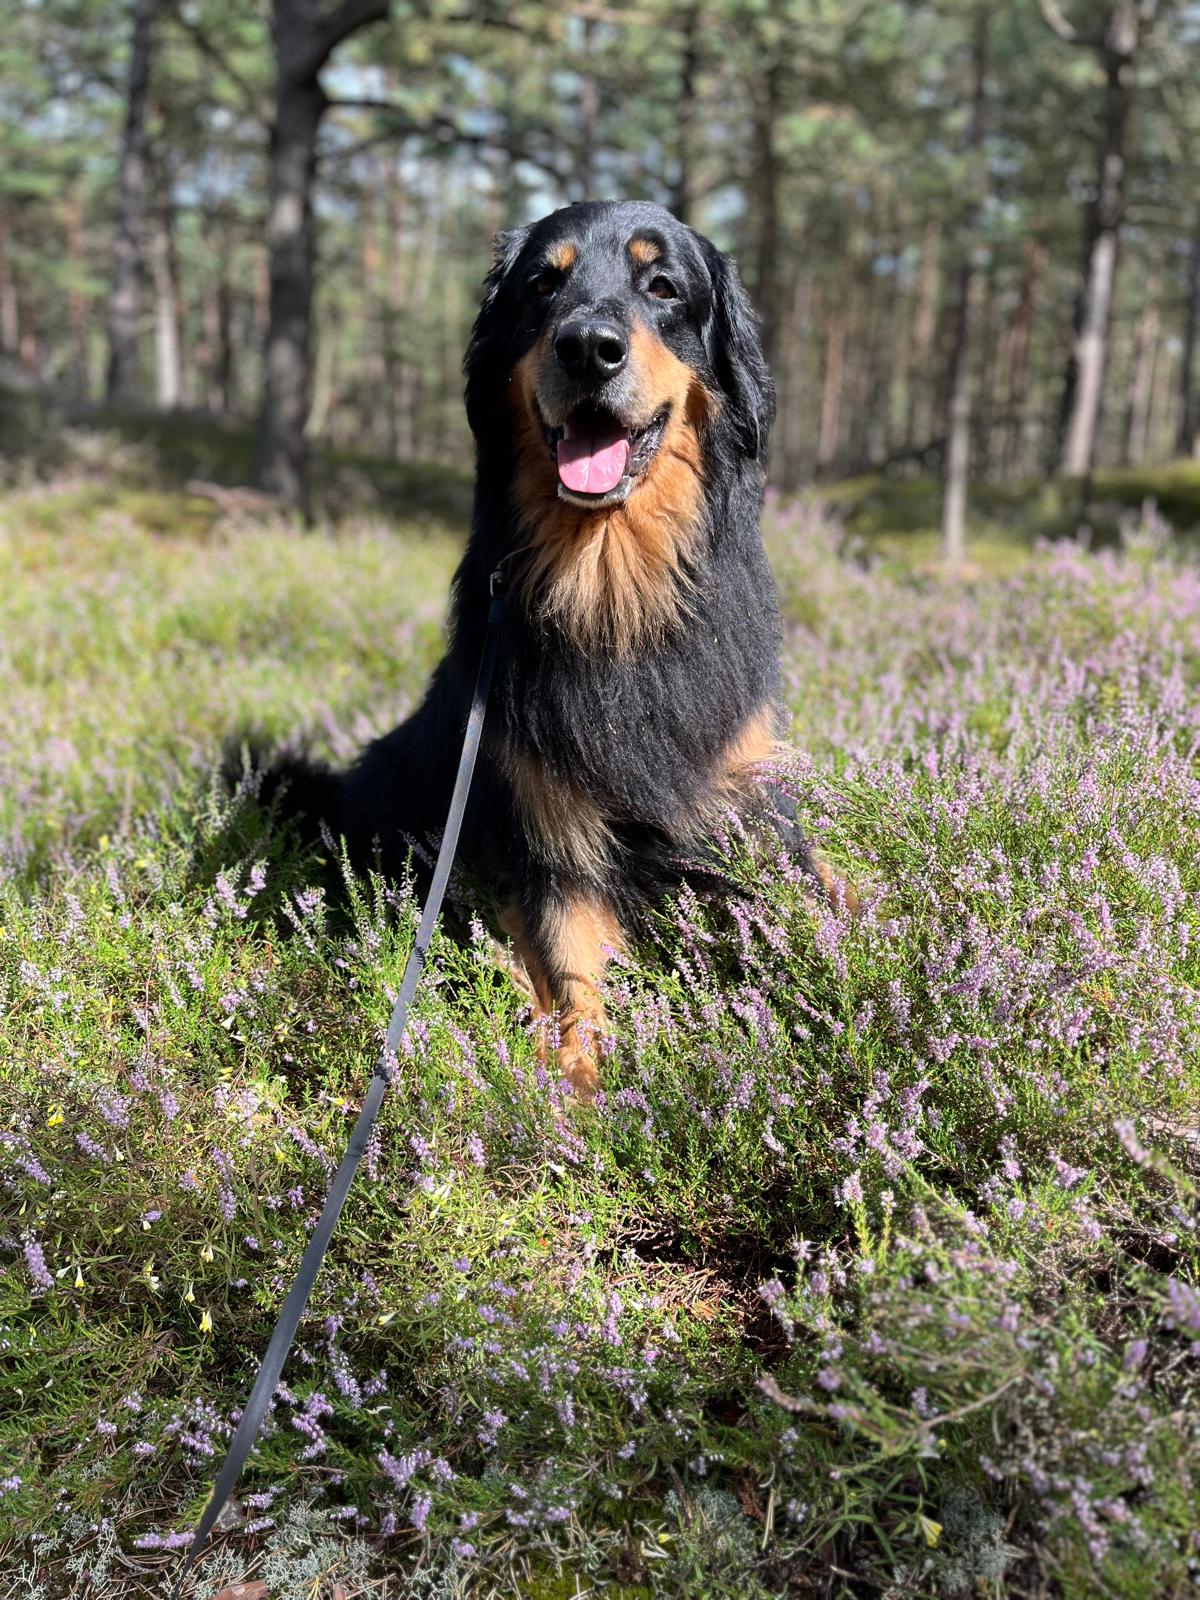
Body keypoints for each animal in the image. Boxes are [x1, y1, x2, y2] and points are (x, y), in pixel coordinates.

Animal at [268, 200, 822, 1099]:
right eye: (542, 284)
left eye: (662, 286)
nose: (588, 347)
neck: (610, 587)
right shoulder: (548, 826)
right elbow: (573, 970)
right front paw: (579, 1090)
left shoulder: (747, 793)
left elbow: (810, 901)